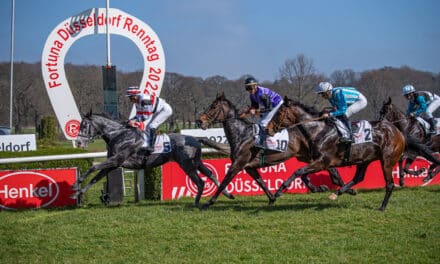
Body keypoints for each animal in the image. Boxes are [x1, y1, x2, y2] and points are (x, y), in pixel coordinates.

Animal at [74, 110, 235, 207]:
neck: (119, 135)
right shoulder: (113, 164)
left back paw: (196, 202)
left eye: (84, 125)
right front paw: (79, 192)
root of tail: (195, 138)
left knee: (200, 181)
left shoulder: (116, 160)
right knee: (210, 174)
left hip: (187, 164)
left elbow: (93, 167)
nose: (79, 142)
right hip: (196, 162)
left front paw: (76, 184)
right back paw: (227, 194)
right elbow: (96, 177)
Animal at [198, 93, 356, 210]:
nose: (199, 121)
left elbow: (224, 181)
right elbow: (261, 182)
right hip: (306, 156)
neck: (241, 134)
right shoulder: (249, 167)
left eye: (213, 106)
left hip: (312, 155)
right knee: (328, 172)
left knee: (331, 172)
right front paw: (272, 198)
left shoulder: (238, 163)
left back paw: (338, 189)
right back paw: (338, 189)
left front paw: (209, 202)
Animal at [270, 98, 408, 210]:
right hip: (364, 159)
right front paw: (319, 188)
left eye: (279, 113)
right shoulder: (318, 161)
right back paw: (337, 193)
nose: (269, 128)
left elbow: (298, 172)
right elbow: (303, 174)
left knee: (390, 184)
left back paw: (382, 206)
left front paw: (278, 192)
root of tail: (398, 132)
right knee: (358, 177)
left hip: (387, 161)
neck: (319, 131)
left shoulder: (323, 162)